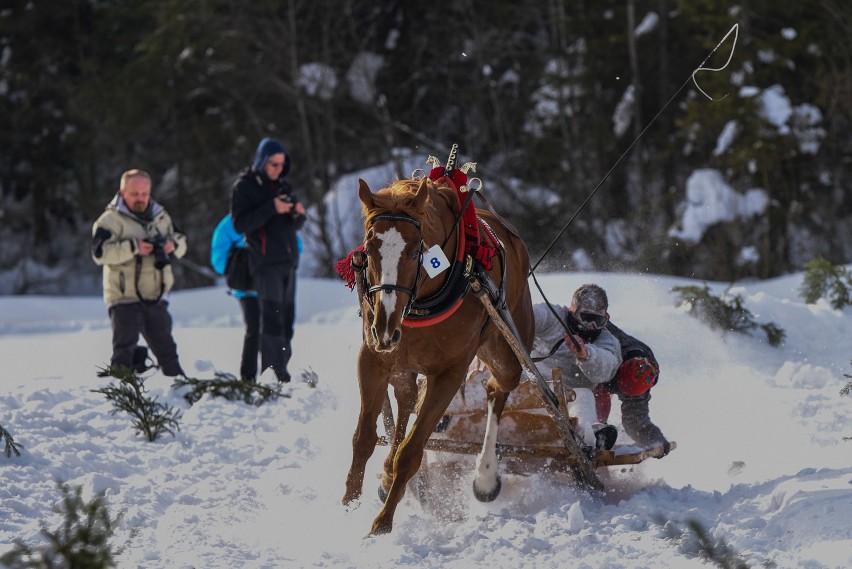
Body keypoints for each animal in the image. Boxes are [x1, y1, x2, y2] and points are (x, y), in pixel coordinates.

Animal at [342, 175, 532, 536]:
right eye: (368, 249)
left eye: (417, 250)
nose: (385, 325)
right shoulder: (372, 359)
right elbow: (363, 438)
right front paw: (348, 507)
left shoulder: (449, 374)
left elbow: (412, 451)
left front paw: (381, 524)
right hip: (402, 361)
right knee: (405, 400)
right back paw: (388, 475)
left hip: (507, 347)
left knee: (498, 388)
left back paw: (485, 476)